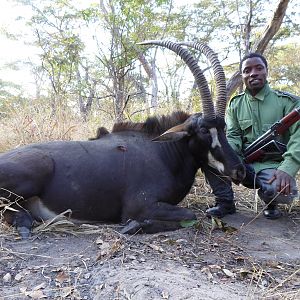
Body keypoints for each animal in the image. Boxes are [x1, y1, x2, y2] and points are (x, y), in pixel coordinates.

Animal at [0, 40, 244, 237]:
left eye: (223, 127)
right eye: (204, 130)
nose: (239, 170)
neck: (163, 153)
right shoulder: (139, 205)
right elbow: (190, 215)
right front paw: (134, 226)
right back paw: (24, 223)